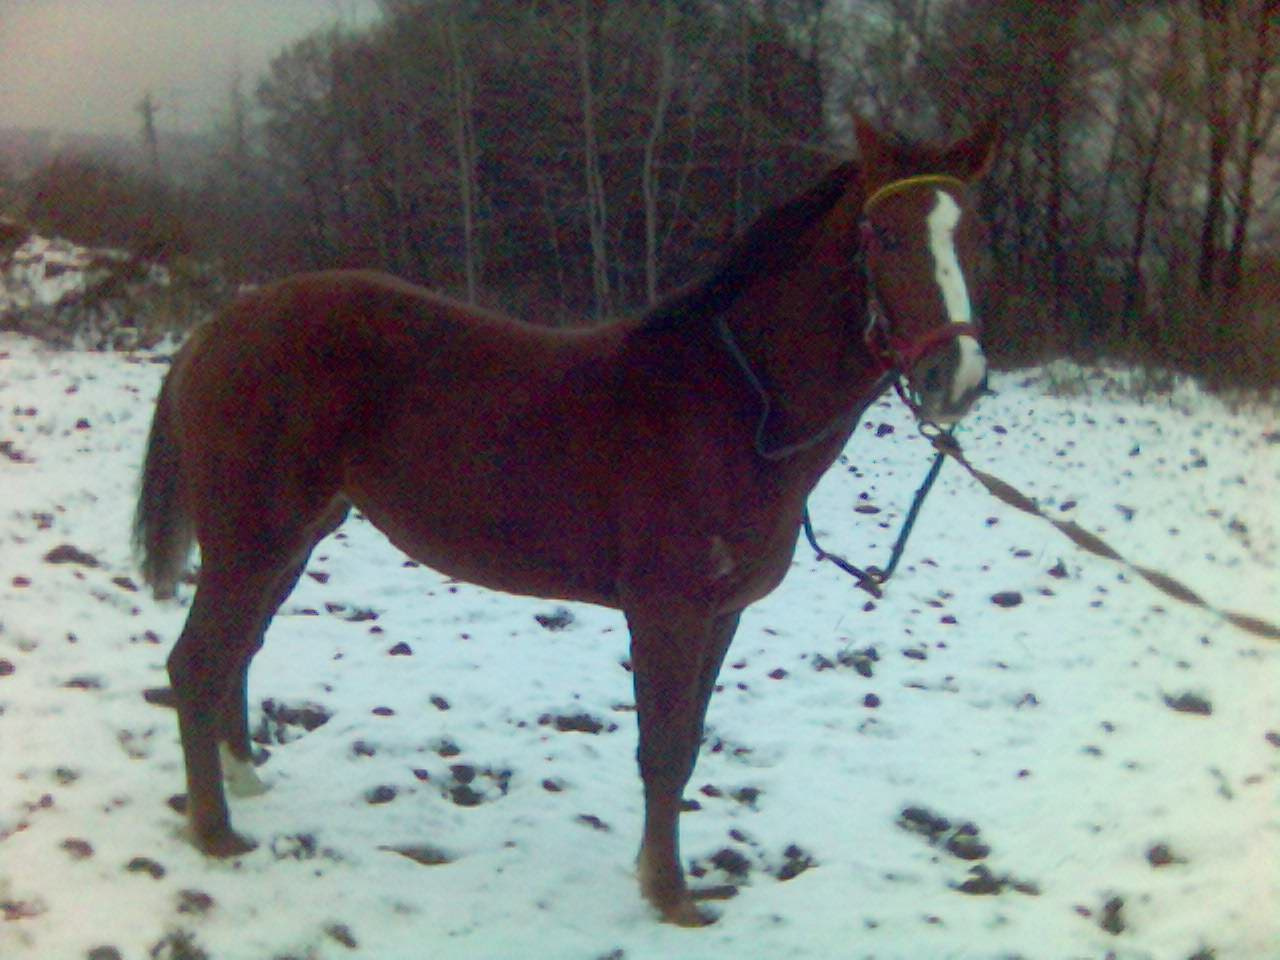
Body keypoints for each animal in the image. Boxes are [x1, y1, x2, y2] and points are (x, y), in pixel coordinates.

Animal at [134, 116, 999, 926]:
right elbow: (663, 751)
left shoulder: (721, 616)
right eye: (884, 235)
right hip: (253, 544)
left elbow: (687, 745)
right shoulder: (666, 613)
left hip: (291, 541)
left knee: (237, 653)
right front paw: (670, 896)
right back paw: (216, 833)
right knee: (196, 664)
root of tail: (217, 329)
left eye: (972, 236)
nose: (955, 378)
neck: (732, 404)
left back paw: (246, 784)